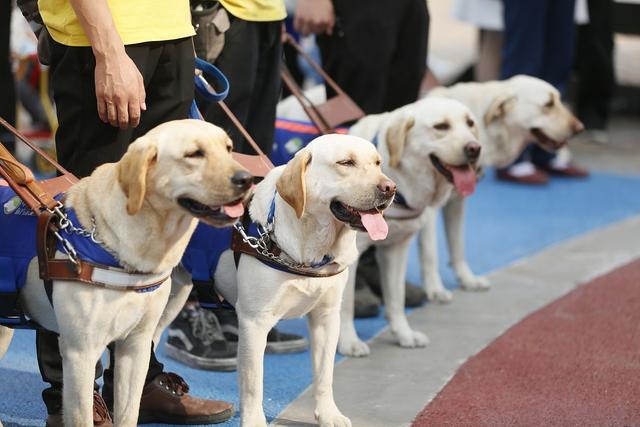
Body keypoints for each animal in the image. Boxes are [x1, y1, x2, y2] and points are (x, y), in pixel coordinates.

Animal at [0, 119, 250, 427]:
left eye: (228, 148)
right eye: (194, 154)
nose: (247, 179)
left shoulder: (136, 345)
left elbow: (129, 411)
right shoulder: (80, 353)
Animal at [161, 135, 396, 427]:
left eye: (377, 162)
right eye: (346, 162)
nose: (390, 188)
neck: (310, 249)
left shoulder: (326, 317)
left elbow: (324, 374)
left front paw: (328, 414)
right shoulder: (254, 322)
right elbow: (254, 383)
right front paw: (254, 422)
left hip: (172, 297)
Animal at [340, 98, 480, 358]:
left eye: (470, 123)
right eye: (441, 126)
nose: (475, 148)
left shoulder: (396, 248)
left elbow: (396, 298)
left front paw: (403, 334)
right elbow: (345, 306)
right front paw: (348, 342)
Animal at [420, 75, 584, 302]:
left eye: (559, 100)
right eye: (549, 104)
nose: (580, 128)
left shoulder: (456, 204)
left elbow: (458, 246)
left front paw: (467, 279)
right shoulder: (429, 210)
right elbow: (430, 253)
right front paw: (435, 288)